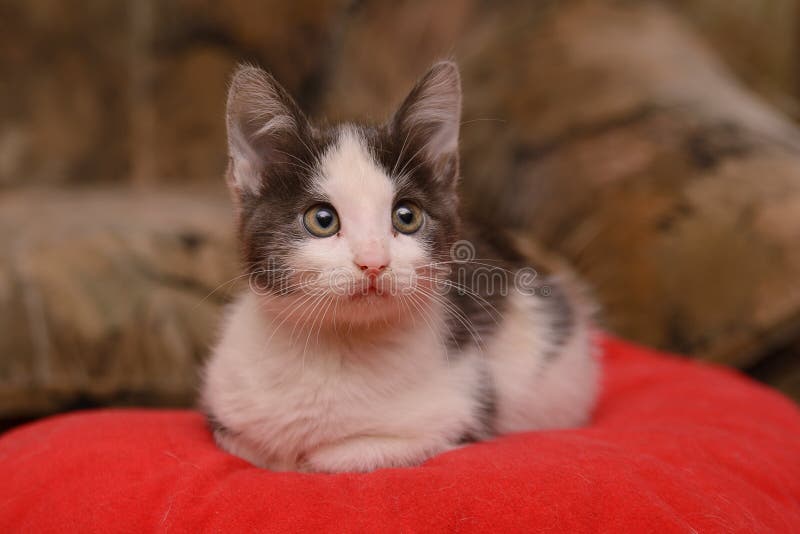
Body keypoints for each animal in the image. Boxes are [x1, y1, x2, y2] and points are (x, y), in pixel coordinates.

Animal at [202, 60, 600, 476]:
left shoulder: (460, 407)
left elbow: (338, 456)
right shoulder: (224, 403)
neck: (340, 343)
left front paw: (311, 457)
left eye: (406, 216)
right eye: (322, 219)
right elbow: (246, 445)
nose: (374, 262)